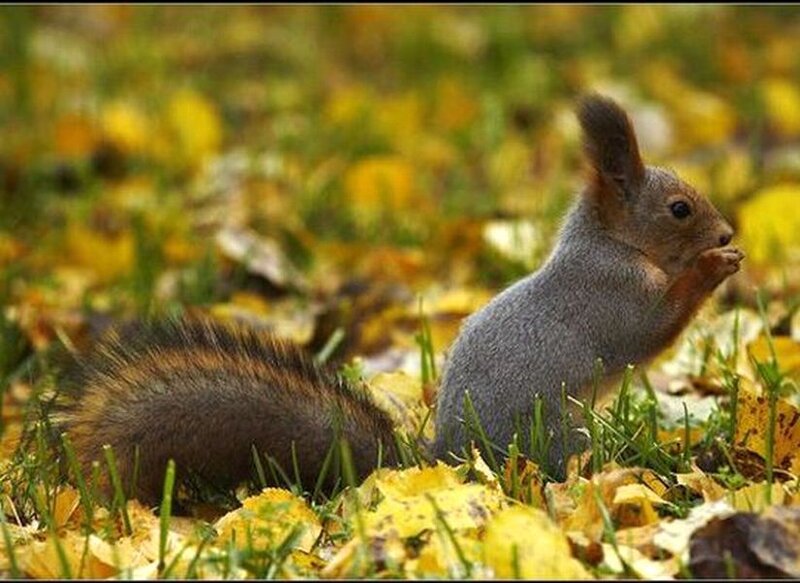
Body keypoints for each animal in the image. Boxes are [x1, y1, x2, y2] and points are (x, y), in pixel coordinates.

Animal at [52, 94, 743, 505]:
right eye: (679, 210)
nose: (726, 233)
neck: (608, 243)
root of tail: (450, 460)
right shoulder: (611, 293)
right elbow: (652, 329)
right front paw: (712, 267)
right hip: (559, 431)